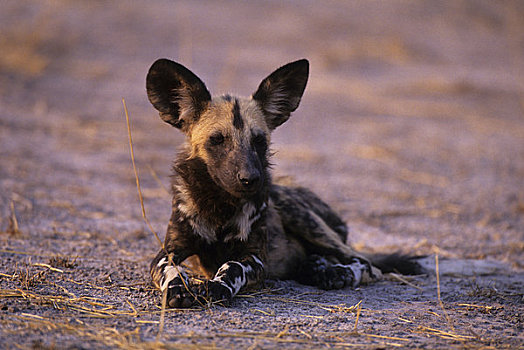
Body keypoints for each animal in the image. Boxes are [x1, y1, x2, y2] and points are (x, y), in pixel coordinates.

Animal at [146, 58, 422, 308]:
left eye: (259, 141)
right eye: (217, 140)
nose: (250, 179)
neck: (220, 205)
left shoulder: (255, 258)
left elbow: (232, 266)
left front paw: (217, 287)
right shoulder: (168, 251)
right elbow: (170, 269)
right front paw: (177, 289)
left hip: (300, 215)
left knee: (365, 263)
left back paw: (336, 272)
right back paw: (317, 268)